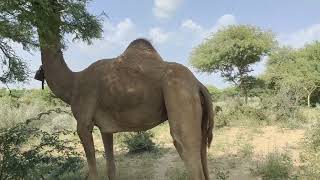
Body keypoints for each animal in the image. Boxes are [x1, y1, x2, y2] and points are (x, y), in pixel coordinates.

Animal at [33, 4, 214, 180]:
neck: (73, 84)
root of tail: (198, 84)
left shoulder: (83, 123)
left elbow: (93, 172)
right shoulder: (105, 128)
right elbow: (111, 169)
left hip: (178, 93)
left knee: (186, 149)